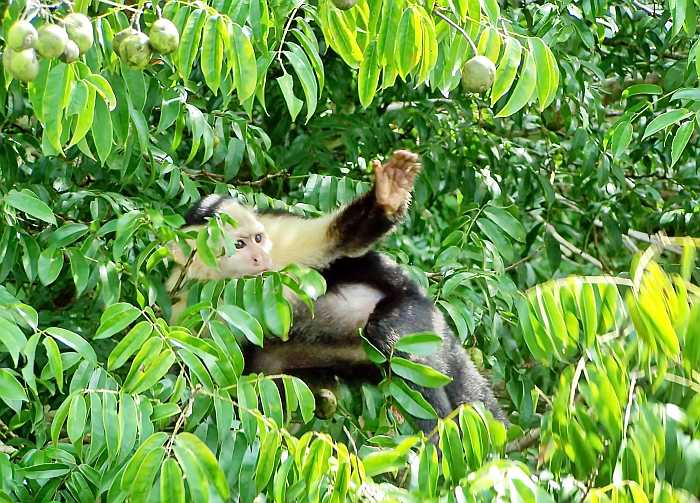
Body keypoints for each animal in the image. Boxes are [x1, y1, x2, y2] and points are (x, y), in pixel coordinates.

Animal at [167, 150, 507, 433]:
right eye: (238, 245)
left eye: (258, 239)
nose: (260, 258)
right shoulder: (183, 297)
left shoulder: (280, 237)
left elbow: (340, 241)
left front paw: (386, 197)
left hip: (416, 316)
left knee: (396, 341)